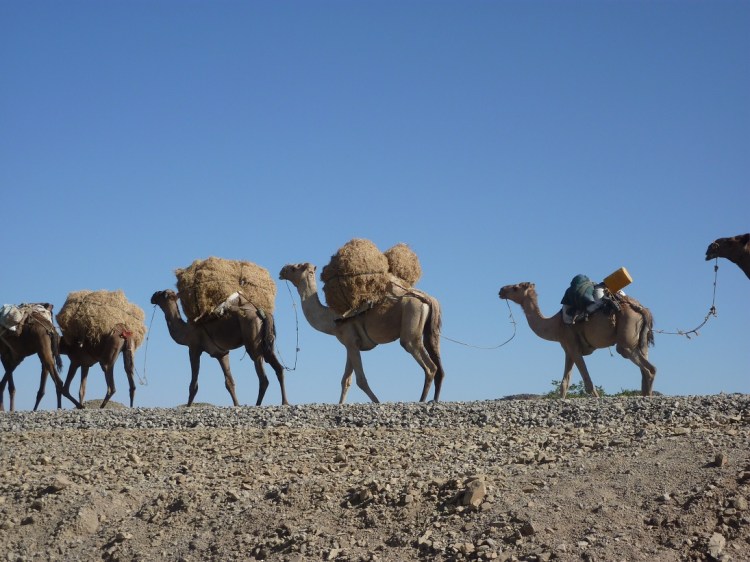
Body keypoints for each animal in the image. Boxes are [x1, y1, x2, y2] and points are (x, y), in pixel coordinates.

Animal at [150, 289, 288, 406]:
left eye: (161, 293)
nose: (152, 296)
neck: (186, 331)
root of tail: (262, 313)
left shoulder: (194, 348)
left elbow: (193, 384)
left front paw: (188, 406)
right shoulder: (221, 353)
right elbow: (229, 382)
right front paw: (237, 405)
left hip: (253, 342)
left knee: (263, 378)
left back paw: (258, 404)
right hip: (267, 344)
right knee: (279, 368)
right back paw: (285, 402)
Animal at [279, 262, 444, 403]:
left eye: (295, 267)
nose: (282, 270)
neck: (331, 318)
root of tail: (428, 299)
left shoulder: (351, 342)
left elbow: (360, 380)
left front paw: (377, 402)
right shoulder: (350, 345)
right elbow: (346, 380)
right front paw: (340, 404)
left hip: (411, 322)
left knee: (428, 365)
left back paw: (422, 400)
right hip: (429, 330)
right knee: (437, 364)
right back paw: (434, 399)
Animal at [499, 282, 656, 398]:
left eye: (515, 287)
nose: (501, 290)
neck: (555, 325)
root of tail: (641, 308)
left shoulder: (573, 346)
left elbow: (588, 383)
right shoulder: (568, 350)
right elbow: (564, 383)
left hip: (626, 338)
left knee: (647, 369)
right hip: (641, 342)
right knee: (647, 370)